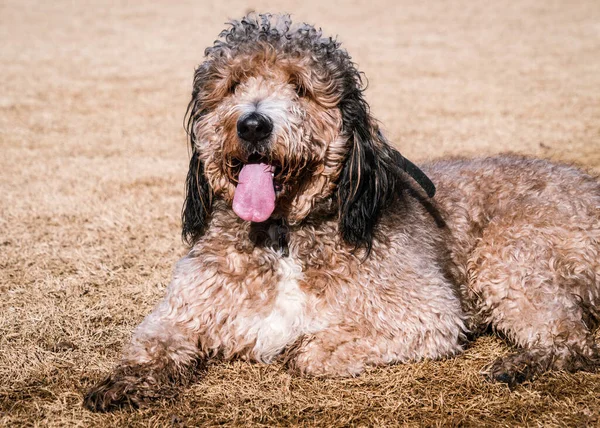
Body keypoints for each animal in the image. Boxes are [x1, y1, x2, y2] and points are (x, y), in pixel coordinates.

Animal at [84, 13, 600, 412]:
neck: (283, 236)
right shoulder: (184, 309)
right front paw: (122, 382)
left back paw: (522, 362)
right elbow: (151, 343)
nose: (252, 124)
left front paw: (303, 347)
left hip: (507, 256)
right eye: (231, 86)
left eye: (300, 88)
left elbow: (311, 351)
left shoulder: (427, 314)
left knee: (574, 340)